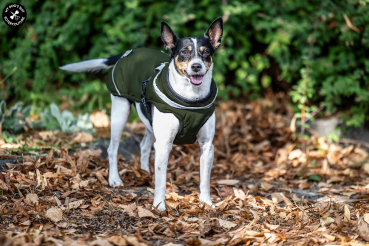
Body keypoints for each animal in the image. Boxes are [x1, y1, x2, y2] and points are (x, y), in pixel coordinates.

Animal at [59, 17, 224, 210]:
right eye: (184, 52)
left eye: (206, 53)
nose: (196, 66)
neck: (190, 99)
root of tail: (126, 53)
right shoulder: (164, 144)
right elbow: (161, 180)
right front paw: (159, 205)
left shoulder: (207, 146)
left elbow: (204, 179)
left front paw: (206, 203)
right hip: (120, 112)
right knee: (112, 148)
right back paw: (114, 179)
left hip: (150, 121)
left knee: (144, 145)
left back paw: (144, 173)